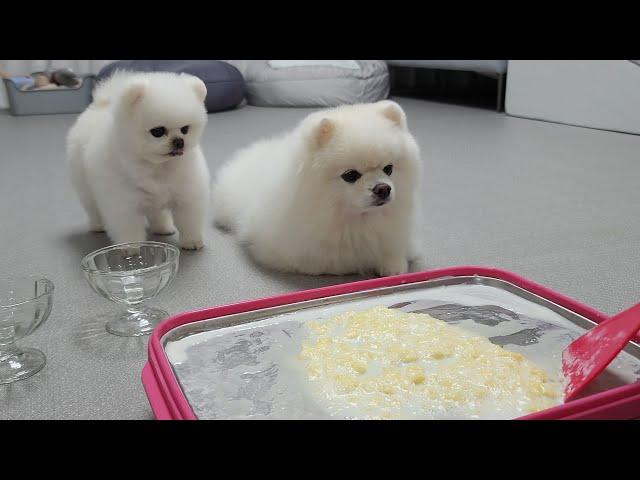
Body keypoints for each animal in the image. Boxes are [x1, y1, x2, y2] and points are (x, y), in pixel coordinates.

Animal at [69, 72, 211, 251]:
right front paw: (130, 248)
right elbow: (128, 228)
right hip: (86, 188)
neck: (157, 167)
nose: (179, 141)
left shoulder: (187, 194)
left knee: (157, 213)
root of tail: (100, 104)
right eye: (157, 131)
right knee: (92, 208)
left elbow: (189, 220)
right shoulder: (124, 204)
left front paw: (192, 241)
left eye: (185, 129)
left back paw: (163, 228)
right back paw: (97, 226)